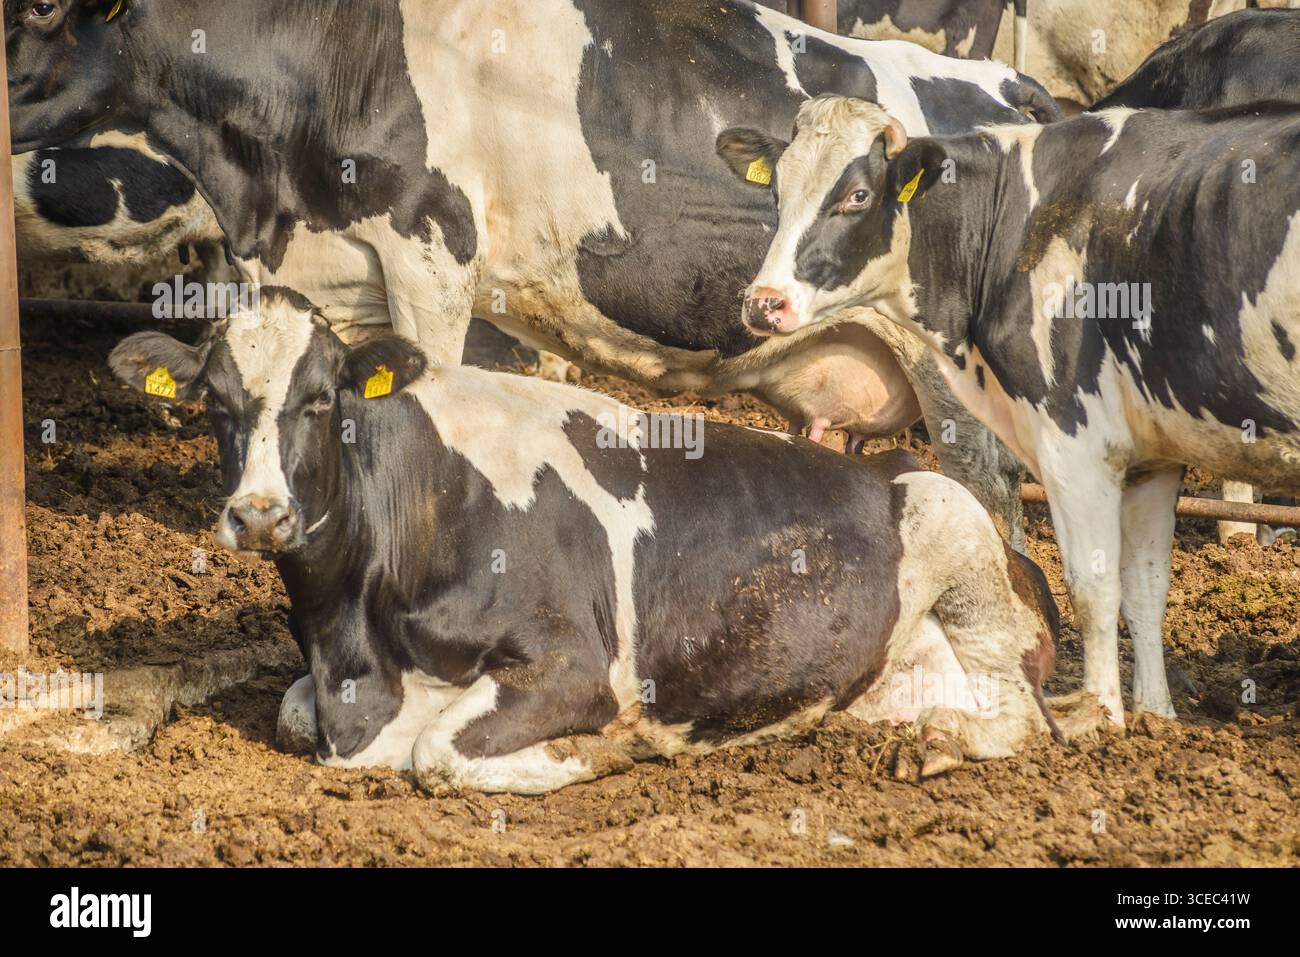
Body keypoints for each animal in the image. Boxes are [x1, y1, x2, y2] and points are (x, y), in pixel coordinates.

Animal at [105, 288, 1064, 793]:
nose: (261, 513)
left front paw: (599, 748)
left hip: (958, 536)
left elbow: (436, 752)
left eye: (321, 400)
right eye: (215, 404)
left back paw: (940, 741)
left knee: (1022, 715)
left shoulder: (572, 664)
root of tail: (898, 462)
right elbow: (291, 705)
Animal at [718, 96, 1300, 727]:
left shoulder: (1074, 441)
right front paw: (1154, 717)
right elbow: (1146, 590)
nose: (763, 304)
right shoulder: (1154, 456)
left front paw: (1097, 717)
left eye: (857, 195)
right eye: (778, 192)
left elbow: (1093, 586)